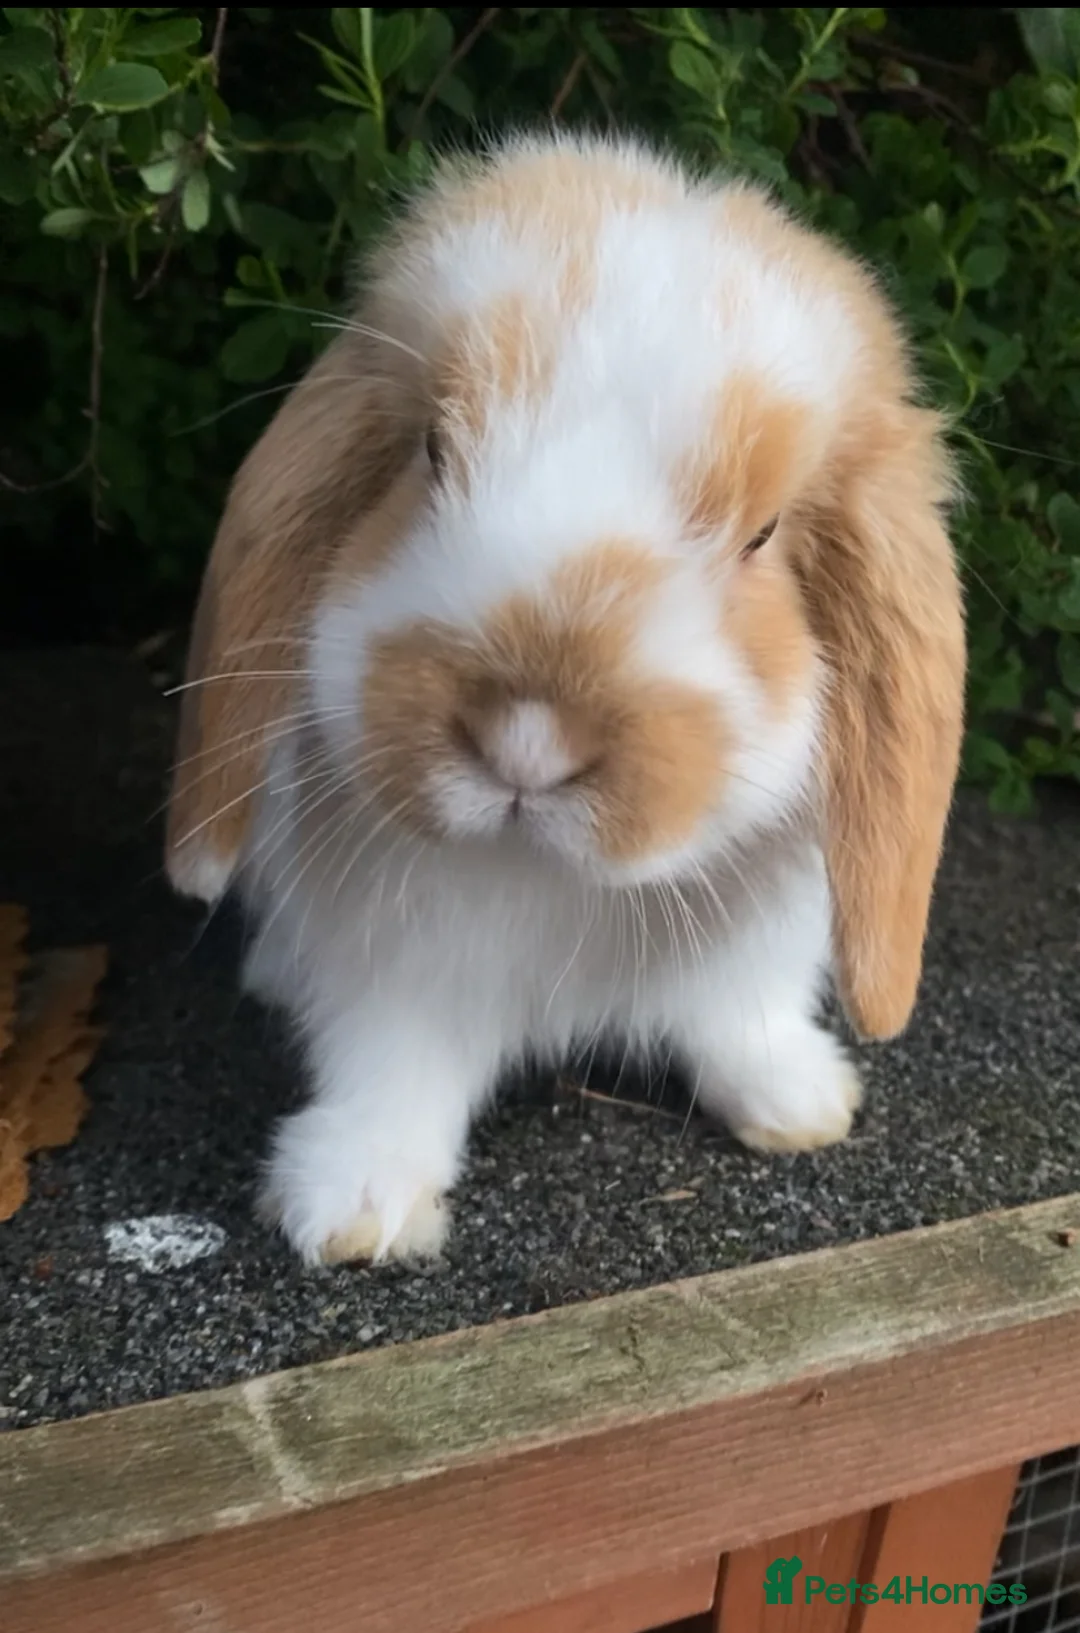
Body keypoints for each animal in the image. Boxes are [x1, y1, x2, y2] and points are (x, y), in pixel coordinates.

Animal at [165, 131, 966, 1266]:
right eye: (430, 450)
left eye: (764, 535)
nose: (527, 741)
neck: (550, 880)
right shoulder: (392, 968)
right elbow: (390, 1069)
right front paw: (355, 1207)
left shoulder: (756, 949)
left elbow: (740, 1019)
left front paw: (800, 1107)